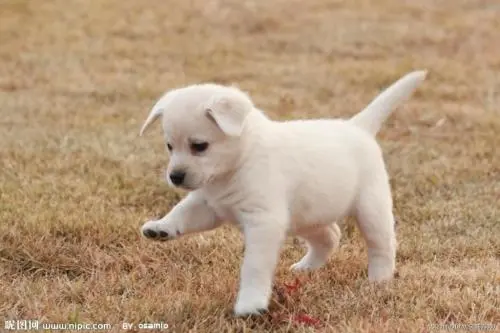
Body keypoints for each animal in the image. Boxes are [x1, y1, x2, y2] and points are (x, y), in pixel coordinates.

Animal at [137, 69, 426, 314]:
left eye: (199, 146)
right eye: (169, 146)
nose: (175, 177)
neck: (241, 160)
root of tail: (357, 127)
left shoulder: (263, 222)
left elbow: (253, 266)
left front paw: (250, 304)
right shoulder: (208, 206)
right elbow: (181, 213)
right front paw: (161, 228)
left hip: (371, 209)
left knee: (382, 246)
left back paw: (379, 281)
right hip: (307, 217)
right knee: (330, 236)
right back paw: (307, 268)